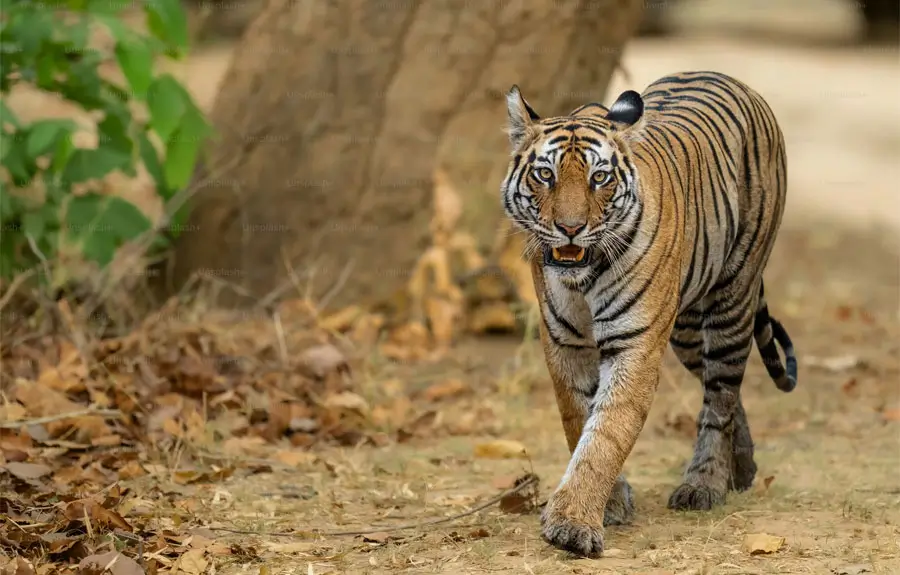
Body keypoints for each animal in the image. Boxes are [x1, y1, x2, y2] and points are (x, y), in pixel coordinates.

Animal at [500, 71, 798, 558]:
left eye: (599, 178)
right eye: (545, 174)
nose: (570, 228)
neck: (582, 277)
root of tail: (731, 78)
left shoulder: (635, 344)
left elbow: (606, 431)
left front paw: (573, 524)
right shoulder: (564, 342)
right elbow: (579, 419)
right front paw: (608, 504)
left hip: (732, 300)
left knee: (720, 396)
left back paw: (705, 484)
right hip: (686, 331)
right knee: (724, 391)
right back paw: (743, 468)